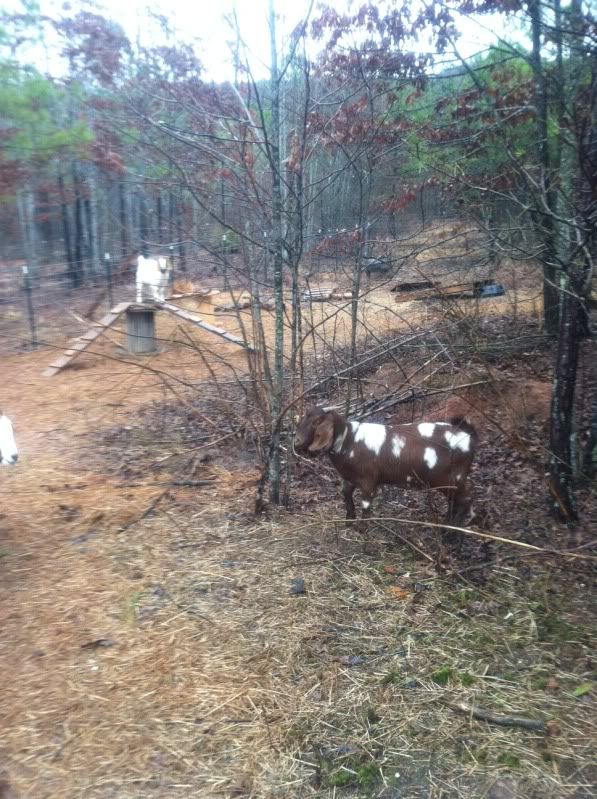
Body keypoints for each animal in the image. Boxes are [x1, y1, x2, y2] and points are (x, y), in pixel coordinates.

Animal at [295, 407, 477, 524]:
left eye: (317, 422)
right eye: (303, 418)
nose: (296, 442)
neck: (348, 440)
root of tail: (468, 436)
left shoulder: (368, 480)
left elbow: (366, 506)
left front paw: (362, 532)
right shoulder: (349, 478)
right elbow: (346, 495)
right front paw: (349, 521)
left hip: (452, 478)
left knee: (466, 499)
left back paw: (452, 530)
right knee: (455, 500)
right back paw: (448, 523)